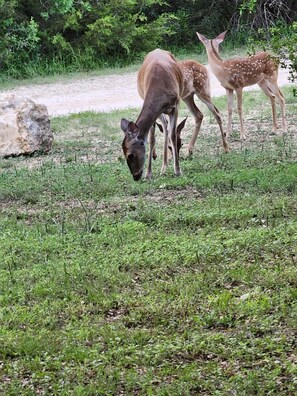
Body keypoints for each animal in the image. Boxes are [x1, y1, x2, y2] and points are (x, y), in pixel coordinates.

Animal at [119, 47, 184, 181]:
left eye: (130, 155)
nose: (136, 176)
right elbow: (151, 139)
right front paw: (148, 173)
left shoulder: (175, 105)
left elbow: (173, 135)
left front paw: (178, 170)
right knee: (164, 125)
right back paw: (163, 166)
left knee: (167, 128)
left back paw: (165, 166)